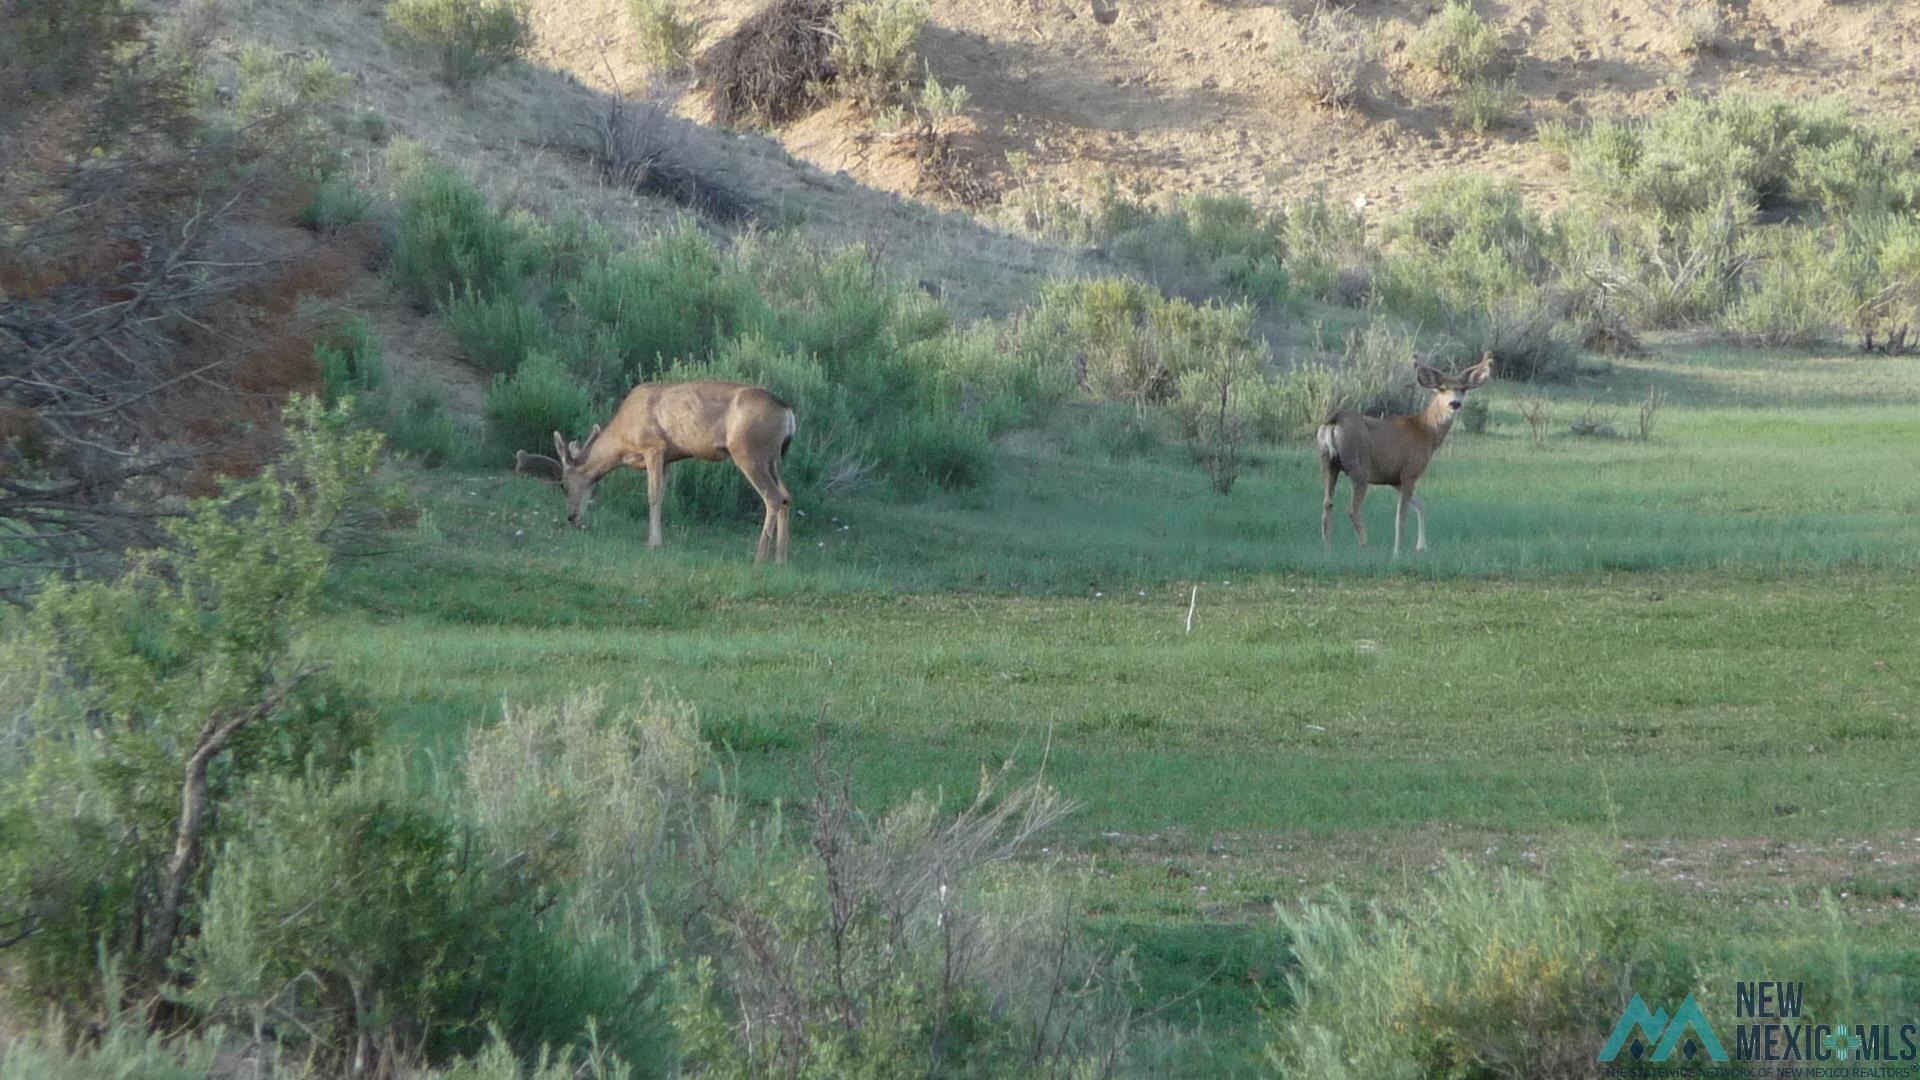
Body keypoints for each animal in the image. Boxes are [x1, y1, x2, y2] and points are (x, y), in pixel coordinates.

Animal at [510, 378, 794, 564]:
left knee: (772, 497)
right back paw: (780, 560)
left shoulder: (654, 446)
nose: (572, 518)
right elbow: (663, 495)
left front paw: (653, 543)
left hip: (748, 451)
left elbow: (653, 495)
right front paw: (659, 539)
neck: (624, 438)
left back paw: (759, 558)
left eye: (563, 485)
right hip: (771, 459)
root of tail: (788, 412)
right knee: (786, 496)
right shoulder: (669, 458)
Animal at [1313, 353, 1489, 553]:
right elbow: (1401, 518)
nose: (1455, 403)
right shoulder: (1410, 472)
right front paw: (1397, 552)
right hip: (1358, 466)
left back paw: (1328, 548)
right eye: (1442, 388)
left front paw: (1421, 547)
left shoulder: (1394, 478)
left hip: (1327, 462)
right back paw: (1365, 546)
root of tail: (1335, 420)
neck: (1427, 432)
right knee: (1352, 510)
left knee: (1327, 503)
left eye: (1463, 389)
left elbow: (1421, 505)